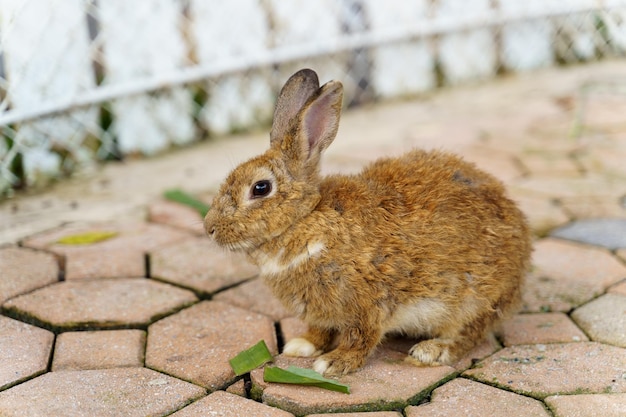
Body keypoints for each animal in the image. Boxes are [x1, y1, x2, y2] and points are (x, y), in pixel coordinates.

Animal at [205, 68, 532, 374]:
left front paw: (333, 364)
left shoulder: (368, 302)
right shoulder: (320, 312)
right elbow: (320, 330)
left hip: (472, 301)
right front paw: (302, 346)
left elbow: (361, 336)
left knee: (471, 332)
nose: (210, 228)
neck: (306, 219)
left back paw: (431, 351)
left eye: (260, 188)